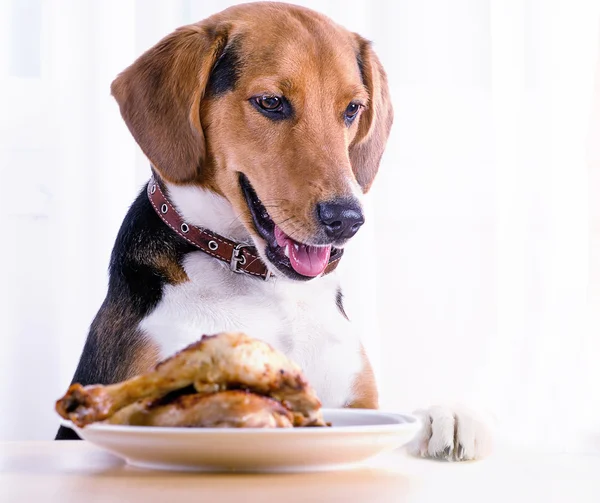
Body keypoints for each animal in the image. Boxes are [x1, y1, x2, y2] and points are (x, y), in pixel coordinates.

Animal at [54, 1, 490, 462]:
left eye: (352, 109)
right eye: (271, 102)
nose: (347, 219)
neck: (269, 287)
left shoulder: (359, 403)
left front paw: (445, 416)